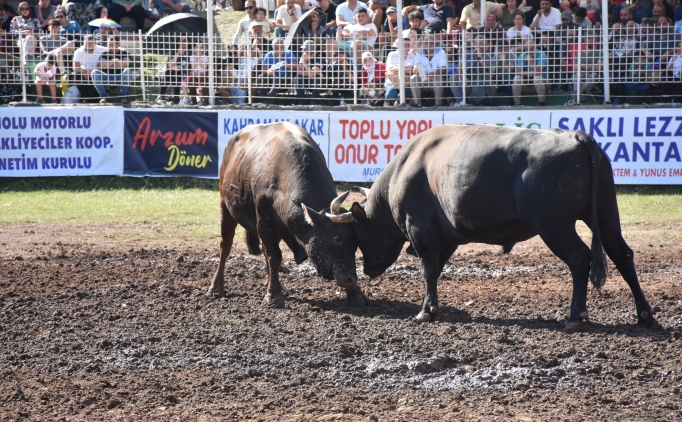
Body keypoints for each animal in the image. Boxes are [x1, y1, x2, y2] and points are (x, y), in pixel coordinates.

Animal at [350, 123, 652, 332]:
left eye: (360, 235)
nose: (367, 270)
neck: (406, 168)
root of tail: (577, 136)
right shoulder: (447, 237)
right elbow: (436, 269)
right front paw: (431, 308)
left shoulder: (420, 229)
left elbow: (428, 269)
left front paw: (427, 311)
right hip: (605, 217)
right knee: (623, 255)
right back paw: (644, 314)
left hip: (555, 227)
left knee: (580, 259)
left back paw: (575, 317)